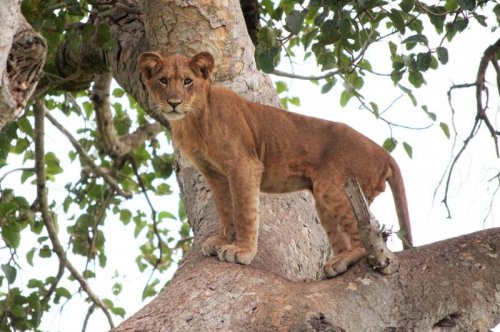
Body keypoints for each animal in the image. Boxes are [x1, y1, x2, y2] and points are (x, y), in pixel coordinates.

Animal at [139, 50, 412, 278]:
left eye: (187, 81)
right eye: (163, 80)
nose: (174, 103)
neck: (192, 121)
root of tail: (384, 153)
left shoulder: (244, 164)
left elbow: (244, 210)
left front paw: (241, 250)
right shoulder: (214, 173)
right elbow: (225, 208)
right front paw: (223, 238)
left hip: (335, 188)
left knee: (364, 240)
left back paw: (344, 259)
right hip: (325, 196)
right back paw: (338, 261)